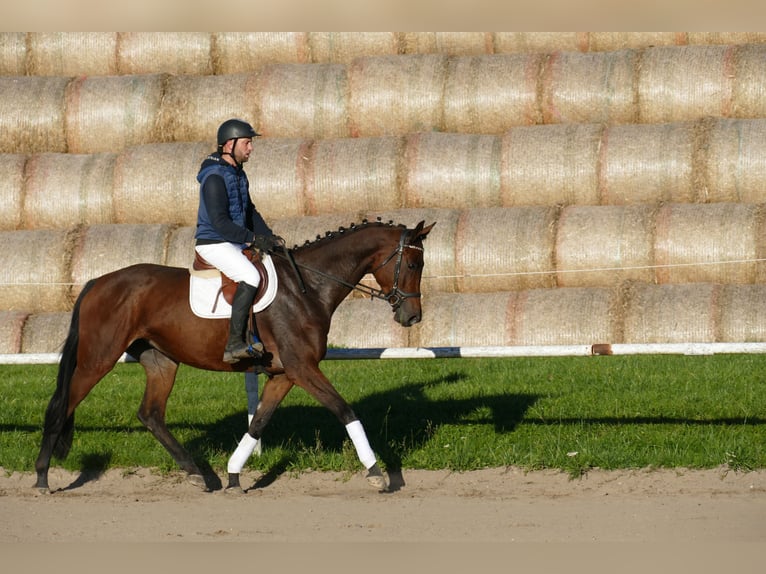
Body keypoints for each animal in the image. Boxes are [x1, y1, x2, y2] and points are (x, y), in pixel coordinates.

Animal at [34, 219, 435, 493]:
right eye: (413, 265)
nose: (412, 317)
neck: (307, 287)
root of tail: (97, 282)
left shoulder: (284, 374)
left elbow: (258, 424)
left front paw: (233, 474)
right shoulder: (302, 368)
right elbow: (345, 410)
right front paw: (376, 473)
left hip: (161, 361)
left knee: (150, 415)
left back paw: (199, 474)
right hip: (97, 359)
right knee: (61, 407)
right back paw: (41, 477)